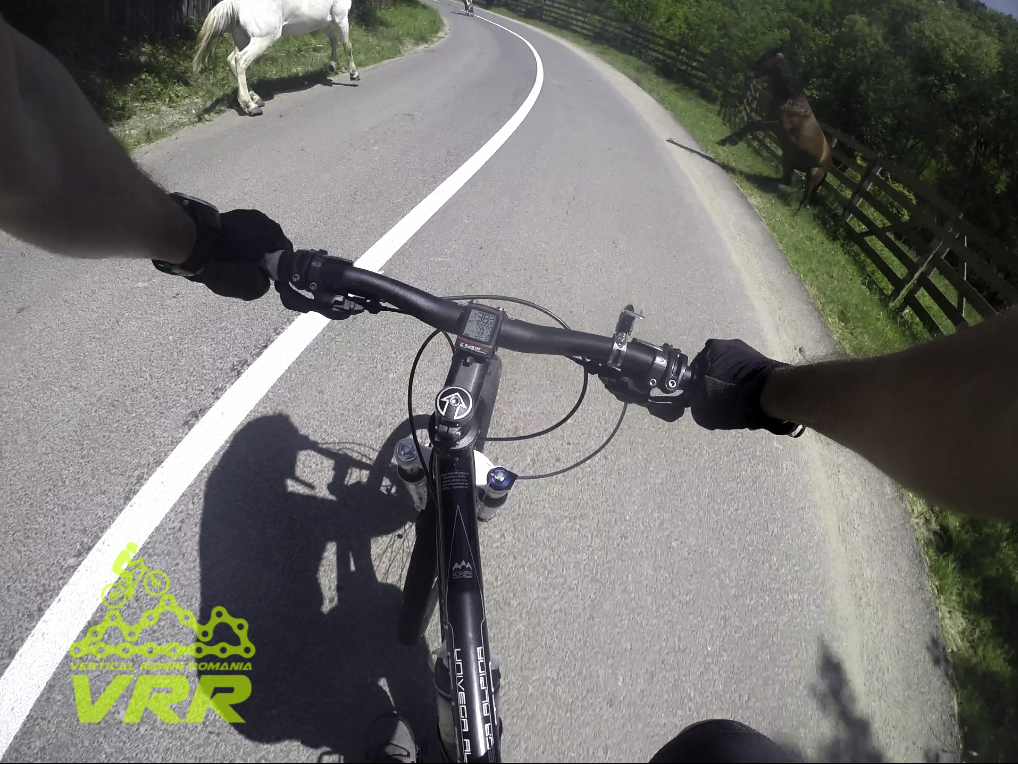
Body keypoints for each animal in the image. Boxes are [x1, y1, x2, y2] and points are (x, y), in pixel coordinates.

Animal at [192, 0, 361, 116]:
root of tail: (235, 3)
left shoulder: (324, 22)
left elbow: (334, 40)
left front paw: (332, 65)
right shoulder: (340, 17)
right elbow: (347, 45)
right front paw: (354, 74)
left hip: (243, 39)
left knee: (232, 59)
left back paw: (256, 99)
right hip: (263, 39)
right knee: (241, 61)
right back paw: (250, 106)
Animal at [718, 47, 831, 213]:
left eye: (765, 59)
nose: (748, 74)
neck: (792, 103)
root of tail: (827, 161)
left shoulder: (775, 125)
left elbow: (752, 124)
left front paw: (729, 140)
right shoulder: (770, 122)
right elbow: (753, 125)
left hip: (812, 174)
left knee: (804, 200)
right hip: (788, 159)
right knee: (786, 180)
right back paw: (762, 179)